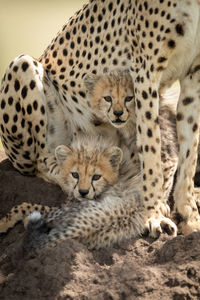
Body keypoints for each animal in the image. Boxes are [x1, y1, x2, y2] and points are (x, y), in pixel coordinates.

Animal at [0, 1, 200, 238]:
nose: (118, 113)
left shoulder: (194, 72)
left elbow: (189, 151)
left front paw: (190, 215)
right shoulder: (145, 70)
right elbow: (151, 149)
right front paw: (154, 213)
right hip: (22, 64)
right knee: (40, 163)